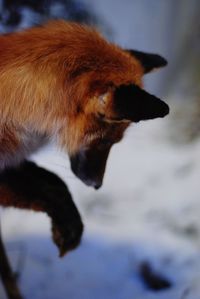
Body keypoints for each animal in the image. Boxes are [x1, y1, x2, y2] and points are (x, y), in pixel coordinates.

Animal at [0, 20, 170, 255]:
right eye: (107, 141)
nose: (97, 185)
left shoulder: (10, 162)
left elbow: (55, 183)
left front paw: (69, 226)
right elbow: (49, 187)